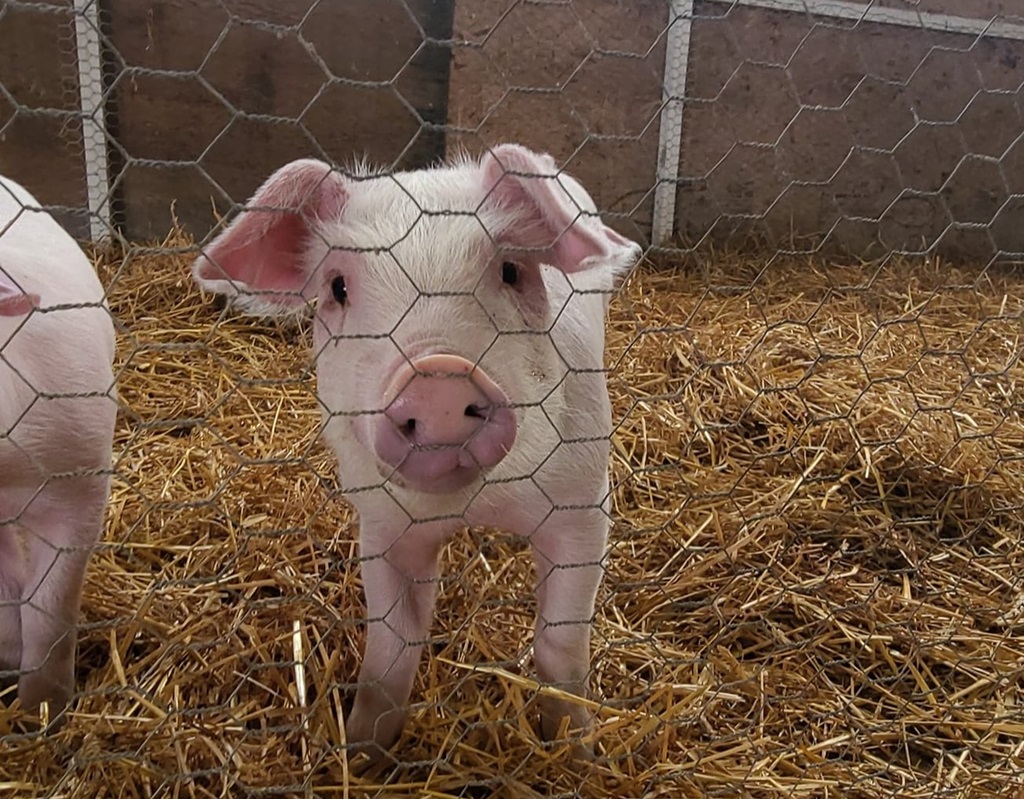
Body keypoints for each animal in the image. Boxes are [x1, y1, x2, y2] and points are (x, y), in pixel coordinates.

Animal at [192, 144, 641, 758]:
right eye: (337, 286)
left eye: (511, 270)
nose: (438, 378)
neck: (472, 506)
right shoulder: (383, 523)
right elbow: (391, 651)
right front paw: (360, 754)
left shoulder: (583, 502)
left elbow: (562, 645)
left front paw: (577, 753)